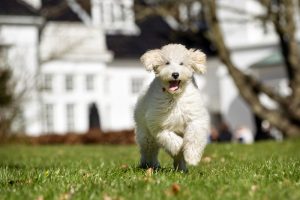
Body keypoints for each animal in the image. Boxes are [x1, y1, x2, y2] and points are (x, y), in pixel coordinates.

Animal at [135, 43, 210, 172]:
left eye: (182, 63)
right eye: (167, 63)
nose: (175, 74)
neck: (175, 97)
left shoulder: (195, 118)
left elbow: (194, 136)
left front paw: (191, 157)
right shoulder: (158, 124)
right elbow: (169, 137)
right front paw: (179, 147)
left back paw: (181, 168)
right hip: (145, 134)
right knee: (149, 150)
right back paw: (149, 165)